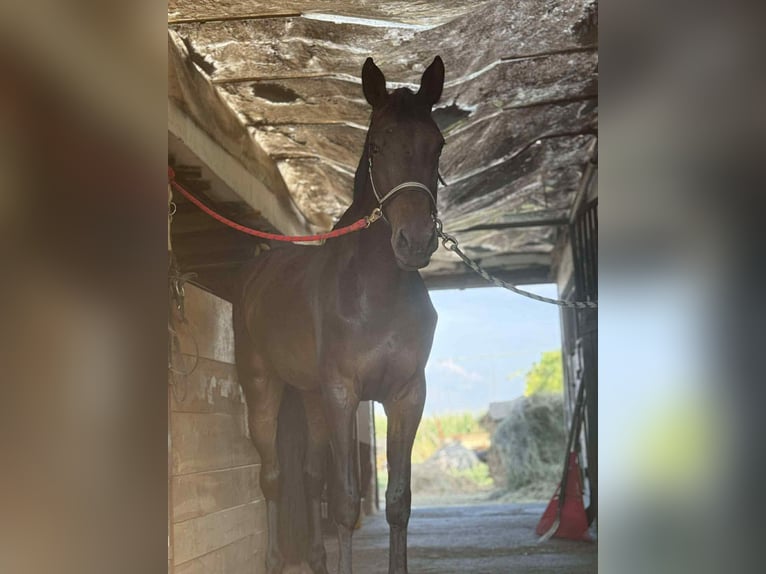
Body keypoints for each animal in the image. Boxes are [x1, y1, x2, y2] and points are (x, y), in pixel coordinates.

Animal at [233, 56, 445, 574]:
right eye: (377, 145)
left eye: (438, 145)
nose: (415, 242)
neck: (376, 294)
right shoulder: (342, 394)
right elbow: (346, 503)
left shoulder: (406, 395)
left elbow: (398, 502)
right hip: (264, 387)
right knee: (273, 477)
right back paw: (274, 559)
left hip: (311, 397)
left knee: (310, 478)